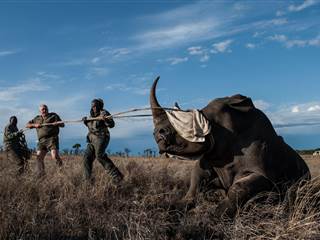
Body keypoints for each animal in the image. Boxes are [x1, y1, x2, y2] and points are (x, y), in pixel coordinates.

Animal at [150, 77, 310, 218]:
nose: (158, 134)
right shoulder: (212, 156)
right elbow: (195, 182)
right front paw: (173, 208)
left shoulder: (264, 174)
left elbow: (238, 188)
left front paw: (214, 217)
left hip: (302, 174)